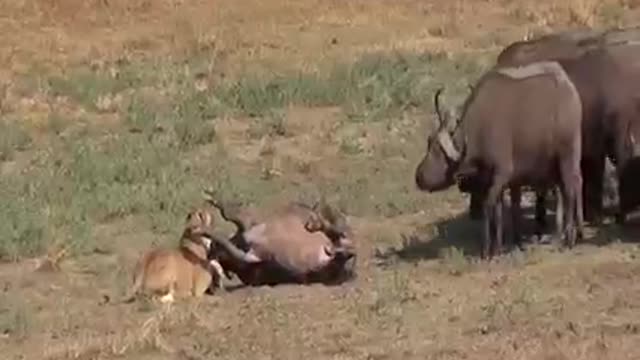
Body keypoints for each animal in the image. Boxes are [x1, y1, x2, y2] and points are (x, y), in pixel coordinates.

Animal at [416, 61, 584, 258]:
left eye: (438, 151)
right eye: (429, 143)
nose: (418, 177)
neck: (479, 128)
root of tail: (569, 89)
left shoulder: (501, 175)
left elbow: (488, 207)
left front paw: (487, 249)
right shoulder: (490, 180)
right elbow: (497, 210)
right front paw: (496, 247)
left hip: (568, 156)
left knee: (571, 189)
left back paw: (570, 238)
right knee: (570, 188)